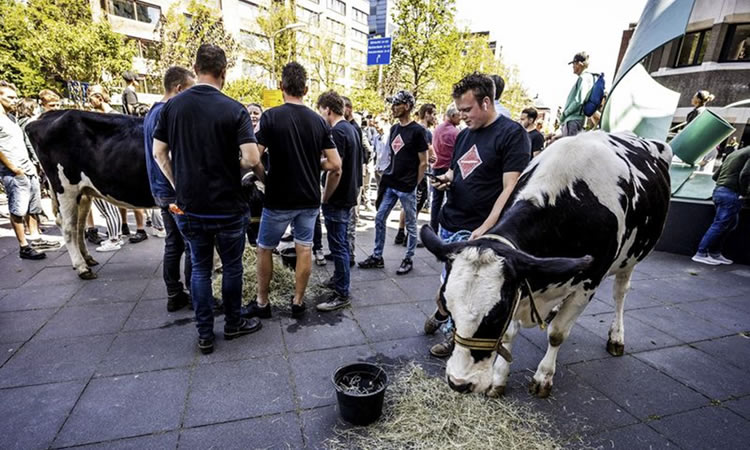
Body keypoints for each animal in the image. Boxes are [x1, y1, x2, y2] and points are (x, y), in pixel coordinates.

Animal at [25, 110, 156, 278]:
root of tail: (46, 115)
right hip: (66, 189)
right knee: (68, 226)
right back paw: (82, 268)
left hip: (83, 193)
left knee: (79, 226)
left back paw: (87, 259)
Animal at [424, 130, 676, 398]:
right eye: (448, 309)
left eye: (495, 316)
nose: (459, 382)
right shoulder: (523, 282)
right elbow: (510, 334)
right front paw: (499, 379)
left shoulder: (588, 283)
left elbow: (557, 334)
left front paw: (543, 377)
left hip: (631, 259)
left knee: (620, 293)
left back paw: (616, 337)